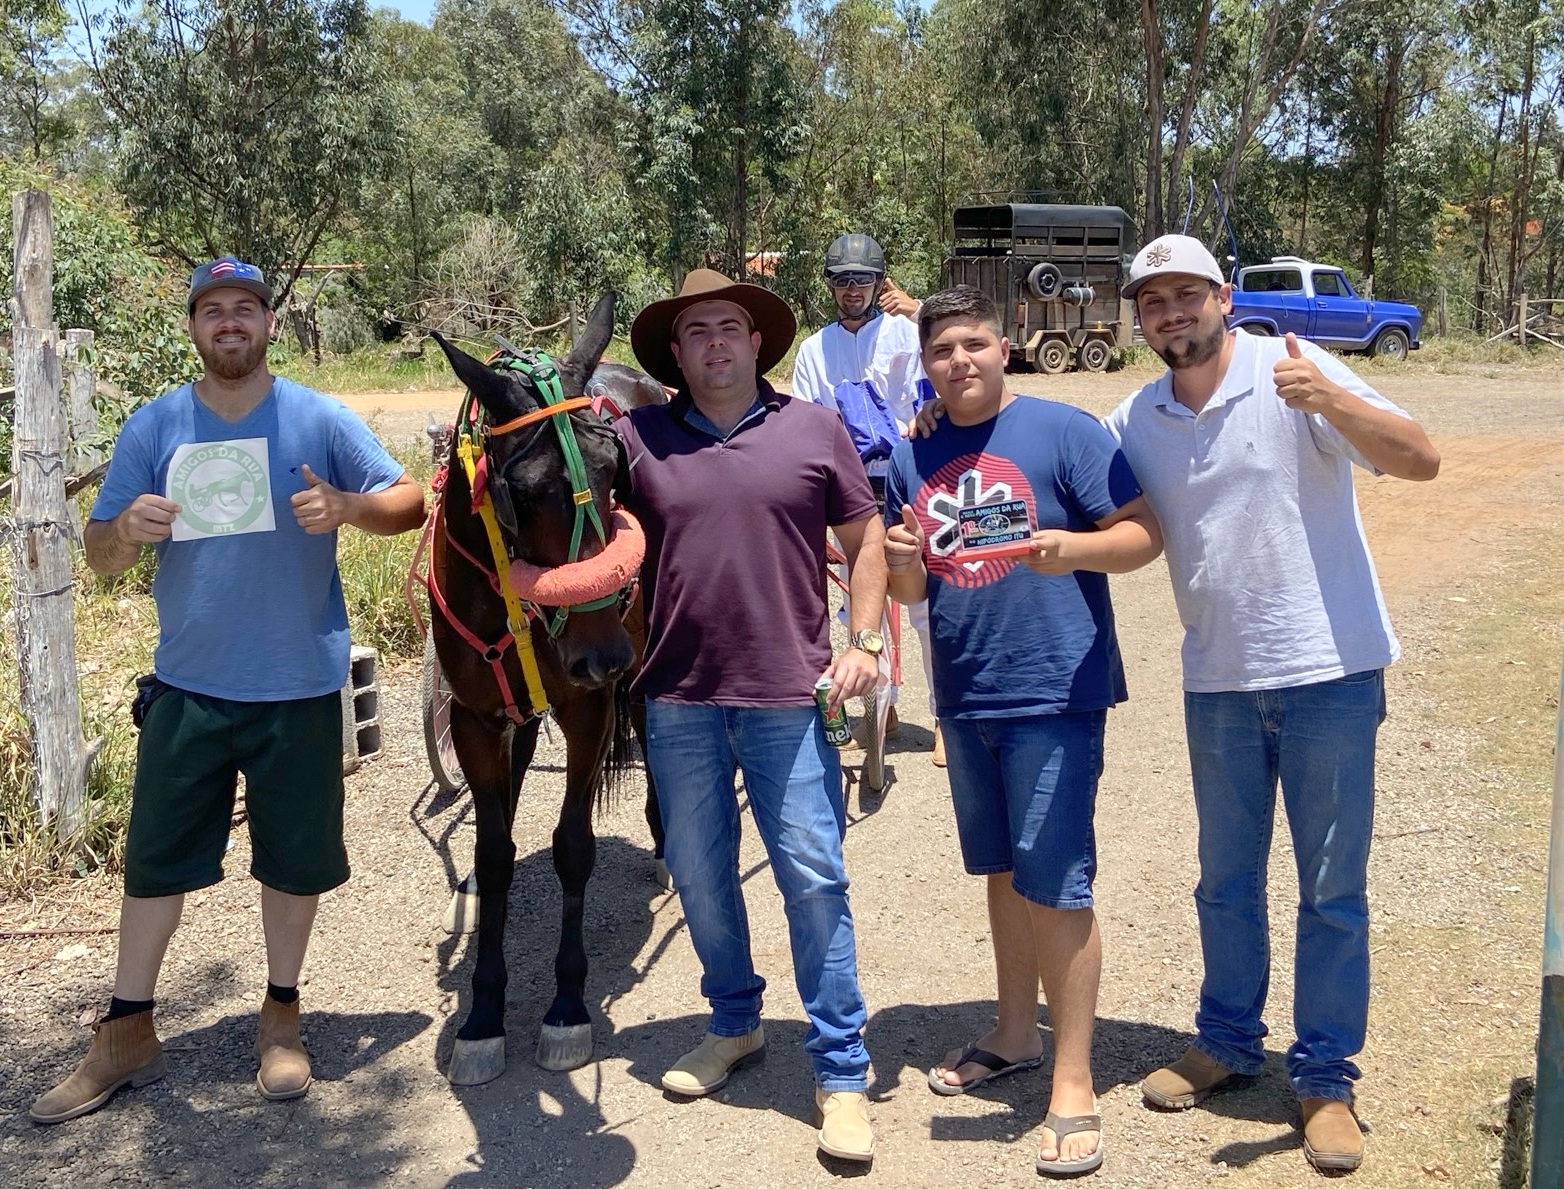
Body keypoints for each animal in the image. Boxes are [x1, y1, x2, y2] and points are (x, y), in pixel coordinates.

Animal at [425, 293, 666, 1085]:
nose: (603, 654)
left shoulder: (589, 708)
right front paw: (482, 1013)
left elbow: (572, 847)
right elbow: (494, 855)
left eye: (614, 468)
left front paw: (566, 1005)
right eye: (520, 492)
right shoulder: (476, 720)